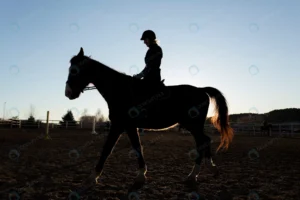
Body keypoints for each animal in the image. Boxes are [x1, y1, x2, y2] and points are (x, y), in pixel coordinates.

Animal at [63, 47, 234, 188]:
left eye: (75, 70)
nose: (68, 93)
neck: (120, 89)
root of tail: (201, 89)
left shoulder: (122, 125)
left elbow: (114, 148)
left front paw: (93, 177)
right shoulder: (125, 126)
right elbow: (128, 147)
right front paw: (140, 174)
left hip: (193, 125)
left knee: (202, 142)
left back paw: (193, 175)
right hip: (193, 125)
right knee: (205, 141)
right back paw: (210, 168)